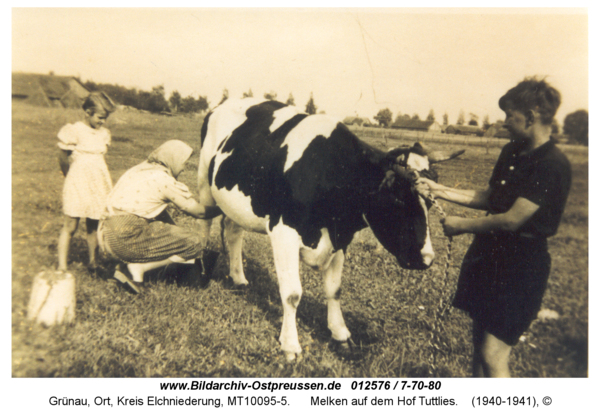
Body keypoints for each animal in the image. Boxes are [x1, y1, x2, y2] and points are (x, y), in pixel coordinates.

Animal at [199, 97, 462, 360]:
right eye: (397, 197)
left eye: (431, 201)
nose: (426, 258)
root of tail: (224, 103)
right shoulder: (284, 233)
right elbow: (292, 294)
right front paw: (290, 345)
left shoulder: (340, 238)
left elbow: (334, 290)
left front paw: (340, 334)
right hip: (204, 184)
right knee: (204, 223)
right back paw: (201, 267)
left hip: (236, 202)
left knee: (233, 231)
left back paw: (239, 278)